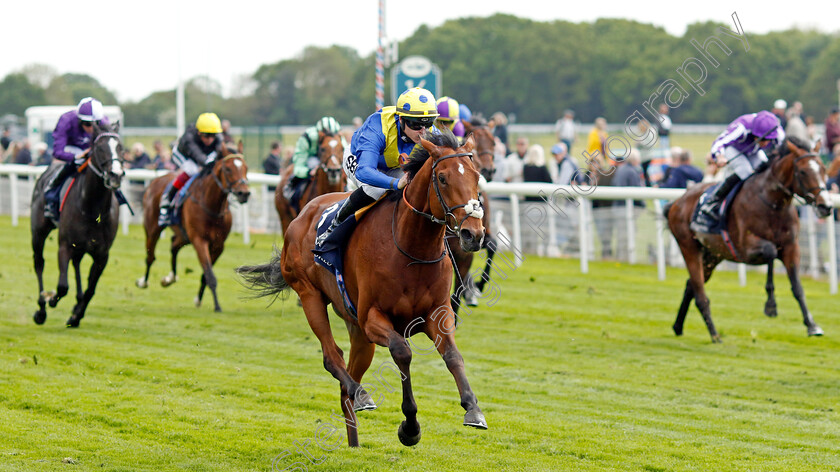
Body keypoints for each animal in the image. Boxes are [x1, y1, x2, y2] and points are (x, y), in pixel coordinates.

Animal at [30, 121, 125, 328]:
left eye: (120, 147)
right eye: (99, 148)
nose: (115, 175)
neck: (93, 209)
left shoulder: (102, 255)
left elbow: (91, 290)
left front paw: (76, 315)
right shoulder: (64, 245)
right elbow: (62, 286)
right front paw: (52, 299)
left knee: (76, 264)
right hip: (39, 232)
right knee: (39, 263)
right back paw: (41, 308)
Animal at [136, 142, 249, 312]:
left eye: (246, 167)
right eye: (228, 169)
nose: (244, 193)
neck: (211, 206)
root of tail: (156, 180)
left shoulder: (218, 245)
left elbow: (206, 275)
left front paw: (199, 300)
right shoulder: (199, 240)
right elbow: (210, 274)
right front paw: (217, 306)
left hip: (183, 235)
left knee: (173, 245)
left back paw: (170, 278)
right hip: (152, 228)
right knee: (150, 256)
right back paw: (143, 281)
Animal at [236, 132, 488, 446]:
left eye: (477, 176)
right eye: (442, 178)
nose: (473, 234)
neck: (411, 249)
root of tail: (303, 214)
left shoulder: (437, 314)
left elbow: (453, 356)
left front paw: (473, 409)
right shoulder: (372, 318)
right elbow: (402, 352)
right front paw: (410, 427)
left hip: (356, 329)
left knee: (346, 382)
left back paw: (354, 438)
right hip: (310, 295)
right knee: (332, 357)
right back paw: (362, 395)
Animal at [664, 137, 832, 342]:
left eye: (823, 169)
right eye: (802, 171)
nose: (826, 206)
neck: (773, 204)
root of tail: (677, 202)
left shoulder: (792, 247)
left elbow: (797, 288)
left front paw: (812, 326)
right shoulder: (745, 248)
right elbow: (770, 251)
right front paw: (771, 305)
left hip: (713, 254)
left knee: (691, 285)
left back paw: (678, 326)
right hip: (688, 246)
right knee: (700, 293)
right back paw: (715, 335)